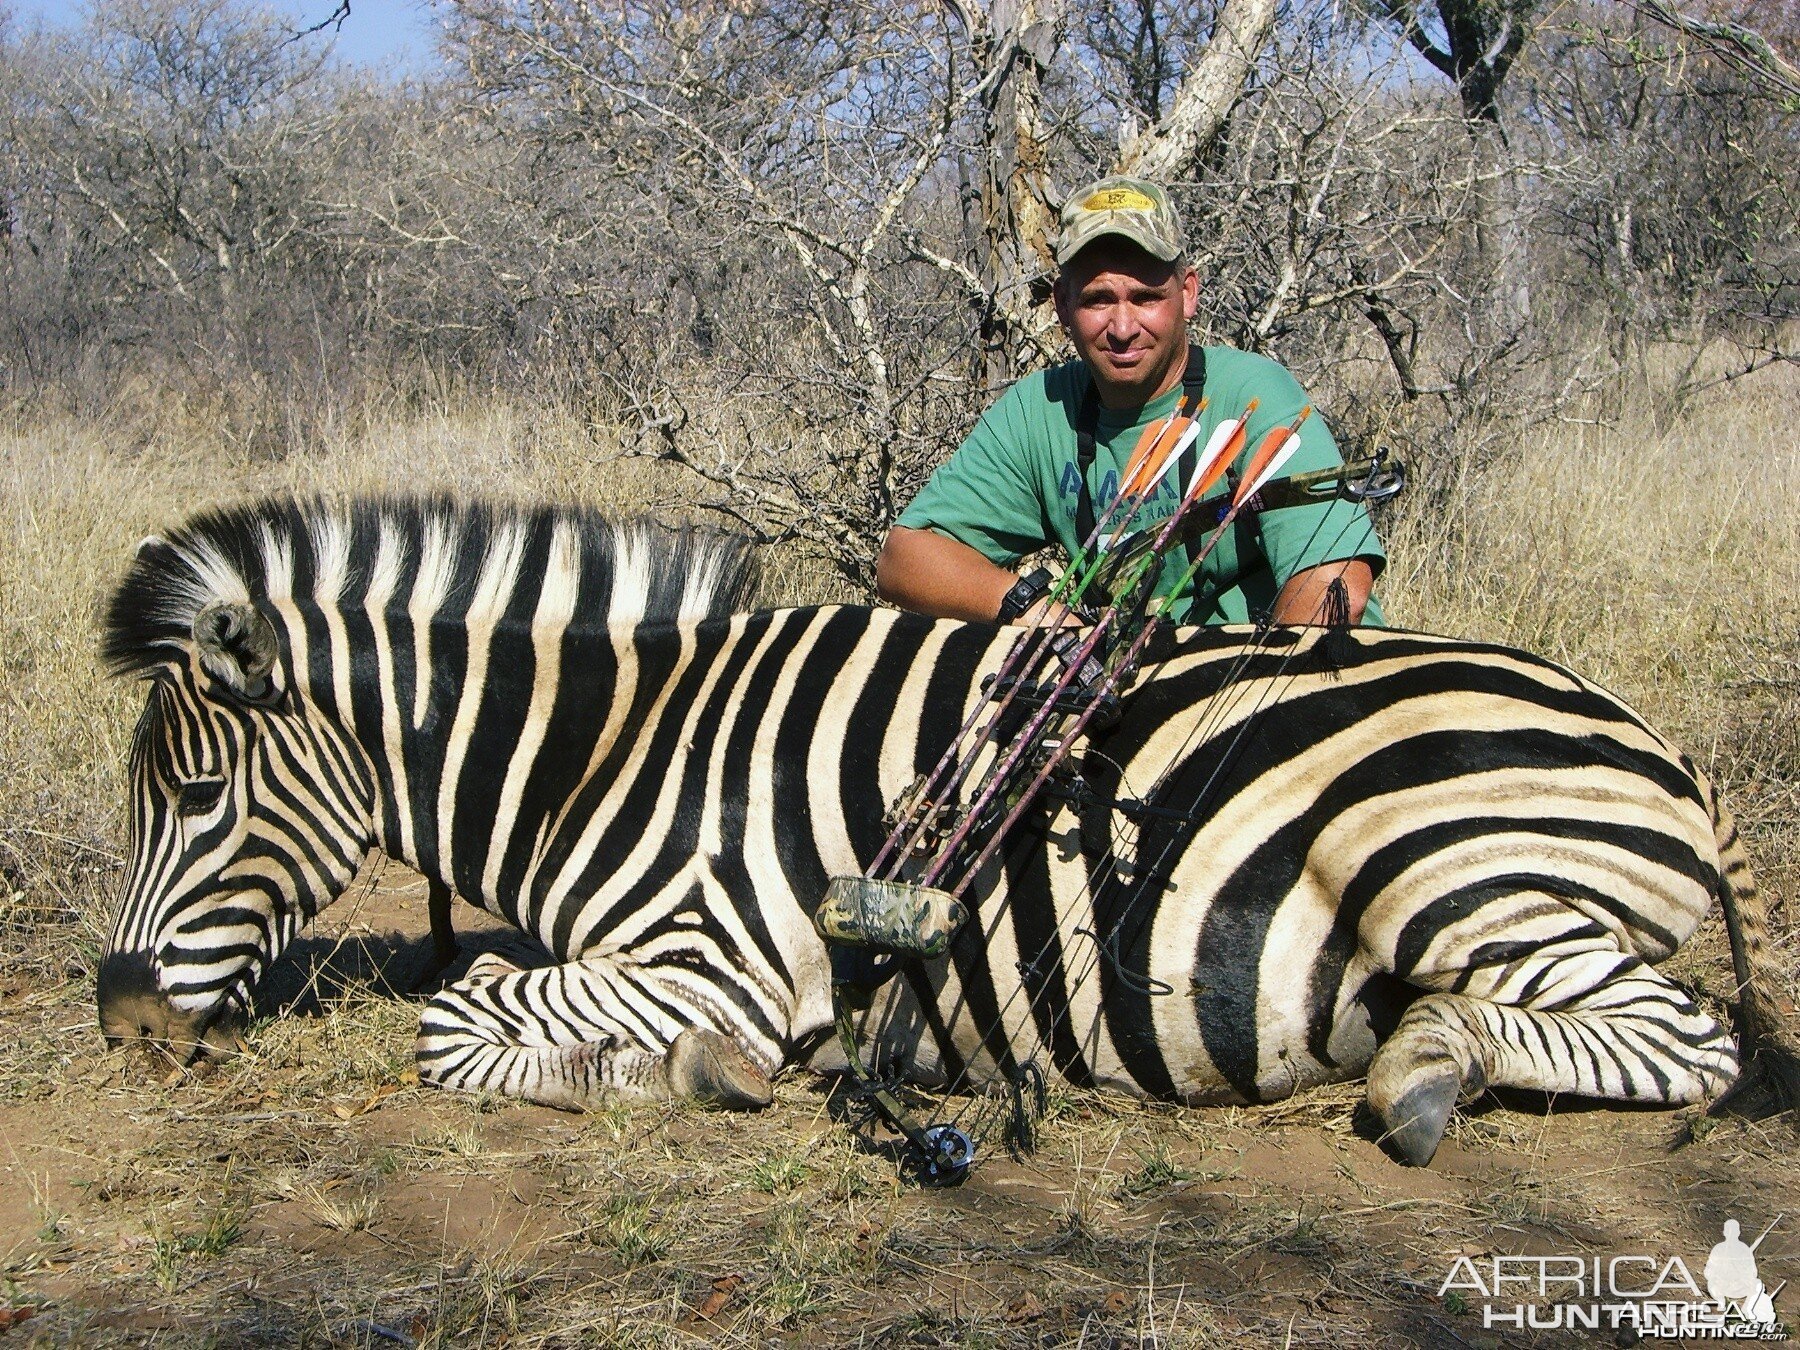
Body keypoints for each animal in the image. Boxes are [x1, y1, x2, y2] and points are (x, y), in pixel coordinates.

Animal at [102, 493, 1800, 1166]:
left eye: (191, 797)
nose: (120, 1026)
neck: (621, 751)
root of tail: (1666, 750)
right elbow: (472, 998)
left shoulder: (717, 956)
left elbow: (455, 1018)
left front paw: (692, 1076)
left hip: (1445, 860)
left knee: (1687, 1041)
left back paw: (1426, 1069)